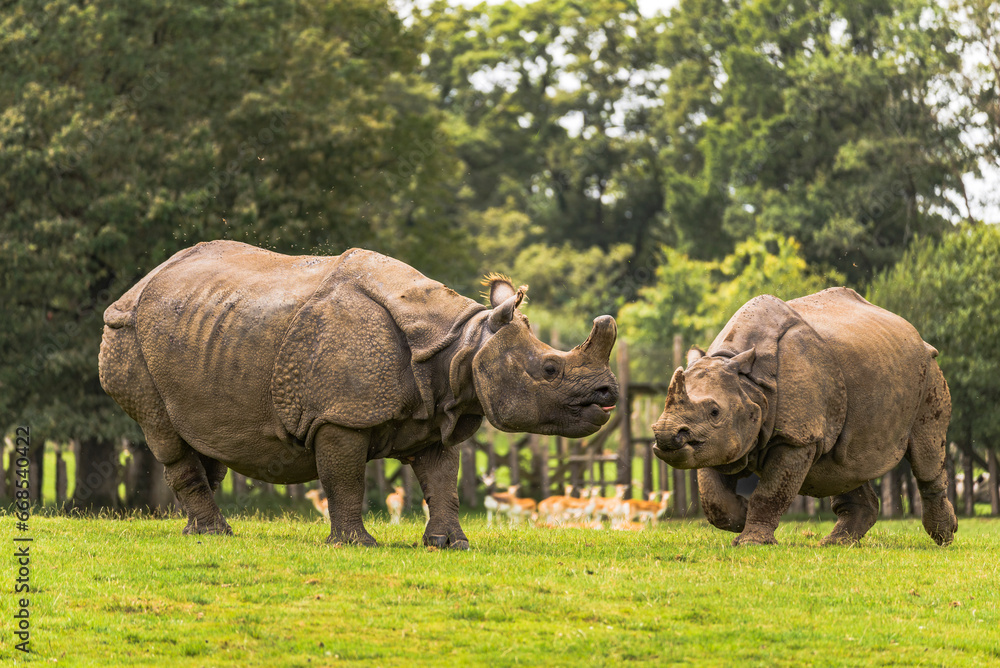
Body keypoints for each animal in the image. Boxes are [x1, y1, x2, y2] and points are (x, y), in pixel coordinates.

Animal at [99, 240, 619, 548]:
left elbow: (442, 480)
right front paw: (354, 545)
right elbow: (345, 477)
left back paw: (196, 533)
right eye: (550, 369)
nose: (607, 392)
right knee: (164, 432)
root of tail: (134, 288)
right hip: (127, 335)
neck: (461, 344)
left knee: (201, 438)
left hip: (200, 332)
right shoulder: (340, 414)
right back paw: (217, 534)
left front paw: (450, 544)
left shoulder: (438, 411)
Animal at [652, 288, 956, 547]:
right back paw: (835, 544)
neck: (750, 385)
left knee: (926, 455)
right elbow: (713, 498)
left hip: (928, 370)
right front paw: (741, 515)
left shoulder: (796, 437)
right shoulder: (714, 441)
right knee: (843, 465)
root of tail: (914, 332)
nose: (666, 434)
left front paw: (751, 541)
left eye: (714, 411)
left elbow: (770, 492)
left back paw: (944, 536)